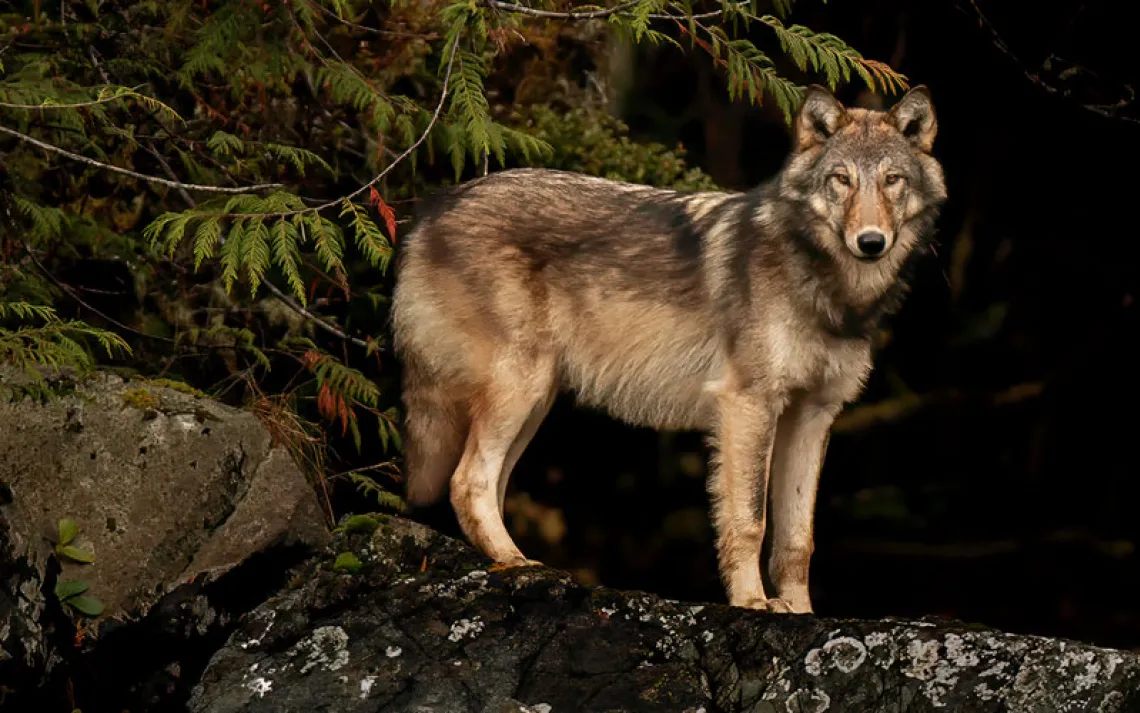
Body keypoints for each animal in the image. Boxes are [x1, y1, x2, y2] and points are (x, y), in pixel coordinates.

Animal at [390, 84, 946, 613]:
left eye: (892, 180)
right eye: (842, 180)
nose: (871, 242)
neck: (826, 288)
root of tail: (432, 207)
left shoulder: (812, 415)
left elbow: (797, 541)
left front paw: (800, 612)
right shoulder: (748, 405)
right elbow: (749, 522)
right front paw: (753, 602)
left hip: (536, 401)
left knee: (488, 483)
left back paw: (509, 561)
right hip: (519, 389)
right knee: (467, 481)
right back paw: (518, 564)